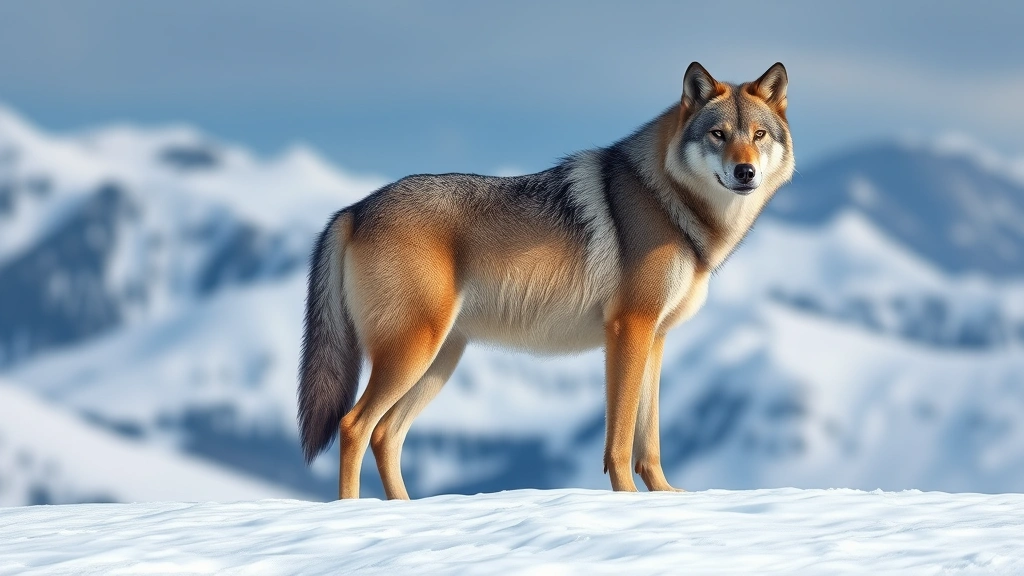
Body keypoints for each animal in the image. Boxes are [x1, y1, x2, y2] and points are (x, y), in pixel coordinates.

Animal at [298, 62, 794, 499]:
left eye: (758, 135)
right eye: (718, 134)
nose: (745, 172)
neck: (667, 201)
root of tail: (354, 209)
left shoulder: (655, 338)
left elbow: (648, 439)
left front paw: (665, 496)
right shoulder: (628, 329)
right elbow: (619, 440)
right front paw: (627, 500)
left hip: (438, 360)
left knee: (386, 434)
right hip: (414, 352)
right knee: (354, 426)